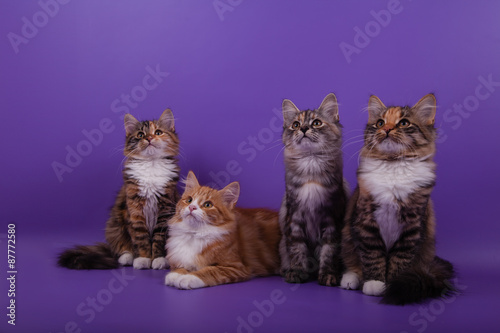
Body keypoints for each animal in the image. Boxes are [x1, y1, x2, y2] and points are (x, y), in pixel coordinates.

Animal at [58, 109, 180, 270]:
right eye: (140, 135)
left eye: (158, 132)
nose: (149, 138)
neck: (151, 164)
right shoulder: (134, 210)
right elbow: (140, 238)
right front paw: (143, 259)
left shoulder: (165, 208)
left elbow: (159, 238)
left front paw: (158, 259)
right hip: (115, 225)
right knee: (121, 247)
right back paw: (127, 257)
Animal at [278, 92, 348, 286]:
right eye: (295, 125)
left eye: (316, 123)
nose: (303, 129)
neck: (310, 164)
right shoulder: (294, 219)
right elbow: (297, 250)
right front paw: (297, 273)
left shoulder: (332, 220)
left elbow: (329, 252)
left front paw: (328, 275)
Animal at [342, 93, 456, 304]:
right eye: (380, 123)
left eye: (404, 123)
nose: (386, 129)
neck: (393, 164)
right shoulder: (365, 222)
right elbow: (372, 256)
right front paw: (375, 283)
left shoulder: (412, 227)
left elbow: (400, 261)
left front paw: (394, 284)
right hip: (346, 238)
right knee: (352, 262)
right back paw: (350, 279)